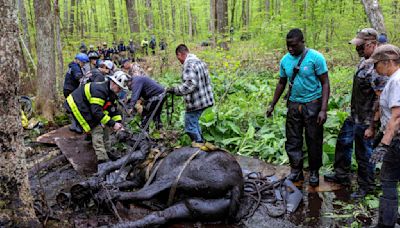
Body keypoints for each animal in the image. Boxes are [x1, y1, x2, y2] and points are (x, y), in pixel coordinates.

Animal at [67, 133, 244, 227]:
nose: (119, 133)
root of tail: (237, 182)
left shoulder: (138, 157)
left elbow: (115, 166)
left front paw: (93, 185)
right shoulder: (135, 180)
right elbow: (121, 182)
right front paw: (95, 186)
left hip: (181, 173)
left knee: (145, 193)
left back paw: (109, 197)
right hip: (195, 206)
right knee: (159, 216)